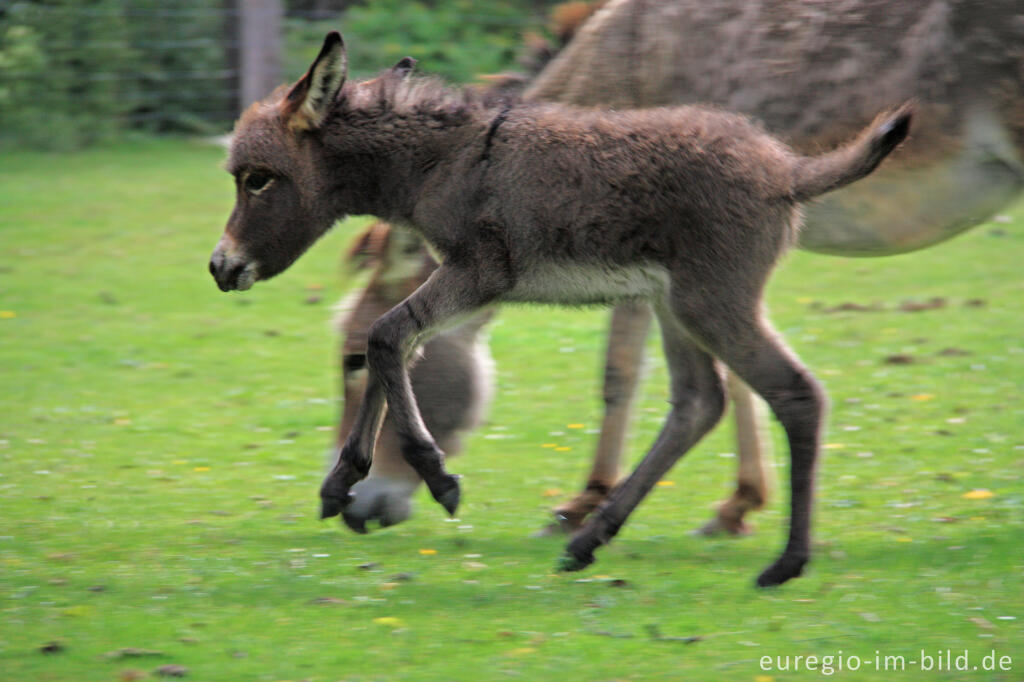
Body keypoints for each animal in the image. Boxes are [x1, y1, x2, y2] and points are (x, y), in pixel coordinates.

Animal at [209, 33, 913, 585]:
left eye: (258, 180)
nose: (220, 268)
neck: (443, 160)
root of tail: (786, 171)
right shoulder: (460, 280)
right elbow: (398, 342)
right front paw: (343, 483)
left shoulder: (480, 273)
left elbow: (388, 337)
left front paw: (436, 477)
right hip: (676, 304)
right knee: (699, 403)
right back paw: (590, 539)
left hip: (711, 303)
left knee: (794, 394)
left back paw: (787, 563)